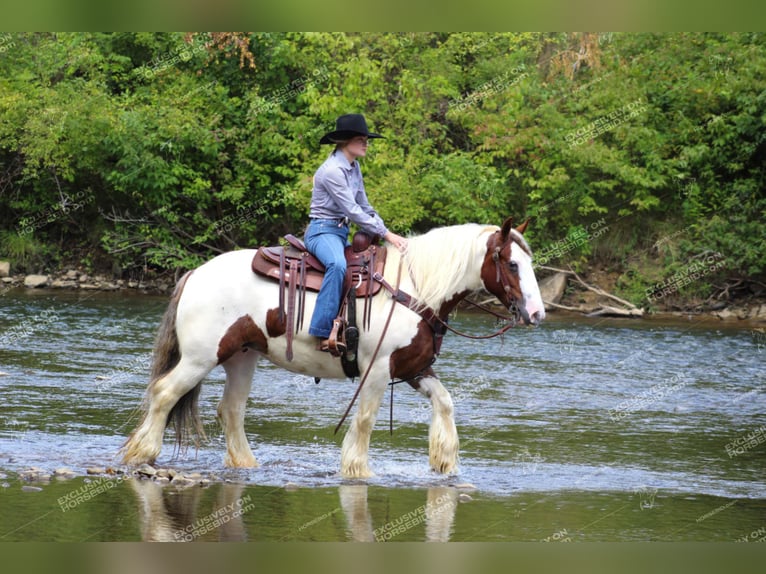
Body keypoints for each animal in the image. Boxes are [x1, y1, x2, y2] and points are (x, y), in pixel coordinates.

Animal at [121, 216, 544, 476]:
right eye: (511, 264)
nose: (537, 313)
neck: (415, 287)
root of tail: (195, 273)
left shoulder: (413, 368)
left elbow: (445, 402)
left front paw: (445, 462)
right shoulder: (377, 369)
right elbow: (366, 418)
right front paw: (357, 469)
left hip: (242, 356)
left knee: (231, 410)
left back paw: (245, 464)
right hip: (200, 357)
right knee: (164, 393)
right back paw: (141, 453)